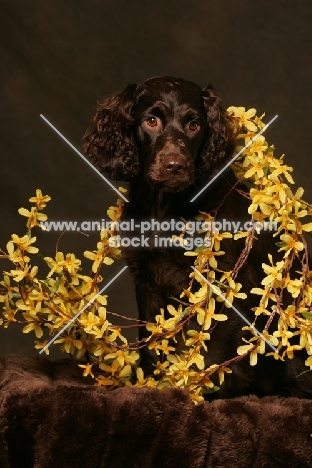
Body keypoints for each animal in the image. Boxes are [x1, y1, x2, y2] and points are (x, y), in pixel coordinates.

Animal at [83, 77, 312, 398]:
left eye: (194, 125)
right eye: (151, 121)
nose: (175, 166)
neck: (164, 207)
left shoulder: (226, 281)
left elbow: (214, 351)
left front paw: (201, 392)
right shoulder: (147, 280)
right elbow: (152, 342)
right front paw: (152, 383)